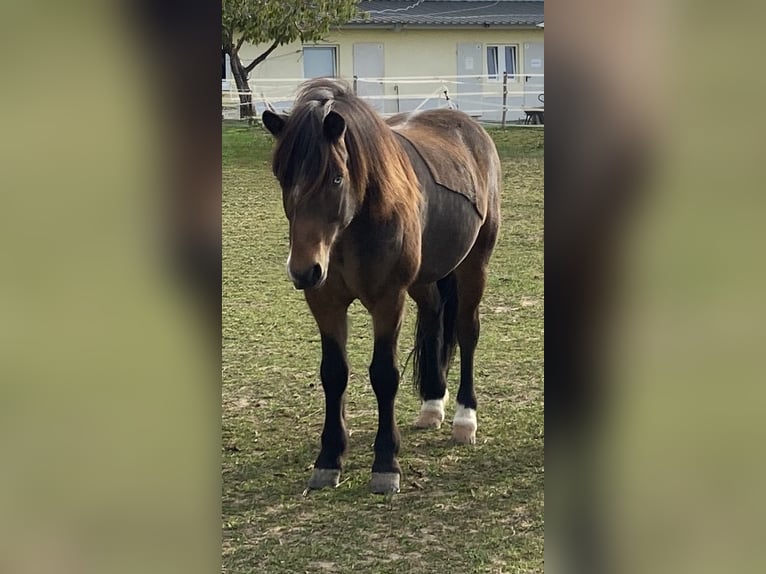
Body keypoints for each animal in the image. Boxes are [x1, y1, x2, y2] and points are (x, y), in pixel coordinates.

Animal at [261, 78, 501, 494]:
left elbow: (384, 375)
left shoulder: (388, 300)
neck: (354, 225)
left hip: (474, 265)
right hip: (424, 278)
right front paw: (329, 458)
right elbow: (333, 373)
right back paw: (432, 404)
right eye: (282, 176)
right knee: (434, 315)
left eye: (336, 178)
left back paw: (464, 418)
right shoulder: (324, 301)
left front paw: (386, 463)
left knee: (467, 331)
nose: (303, 270)